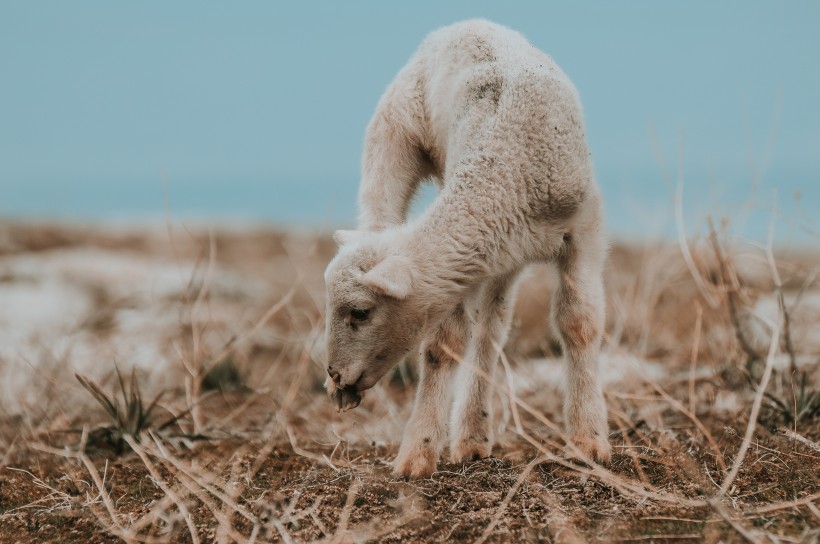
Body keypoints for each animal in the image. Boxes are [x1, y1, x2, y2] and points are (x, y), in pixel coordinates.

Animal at [324, 18, 612, 476]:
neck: (511, 171)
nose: (334, 375)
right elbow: (443, 343)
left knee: (492, 327)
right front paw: (418, 450)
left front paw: (589, 439)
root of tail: (467, 24)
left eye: (360, 313)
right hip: (394, 133)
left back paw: (474, 433)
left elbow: (579, 322)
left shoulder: (584, 227)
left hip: (500, 254)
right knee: (379, 219)